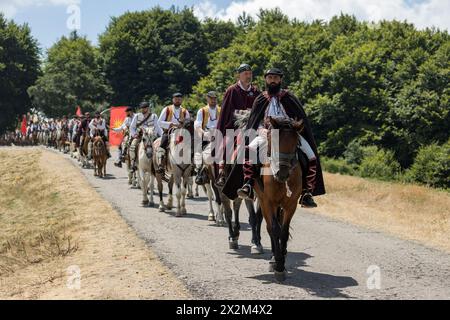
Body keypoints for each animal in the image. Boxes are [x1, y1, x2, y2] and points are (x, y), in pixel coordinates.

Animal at [255, 116, 304, 282]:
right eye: (273, 141)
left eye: (296, 144)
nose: (282, 173)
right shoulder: (267, 202)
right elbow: (274, 229)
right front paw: (278, 265)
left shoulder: (291, 204)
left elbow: (283, 231)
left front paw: (281, 263)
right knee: (270, 227)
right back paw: (273, 259)